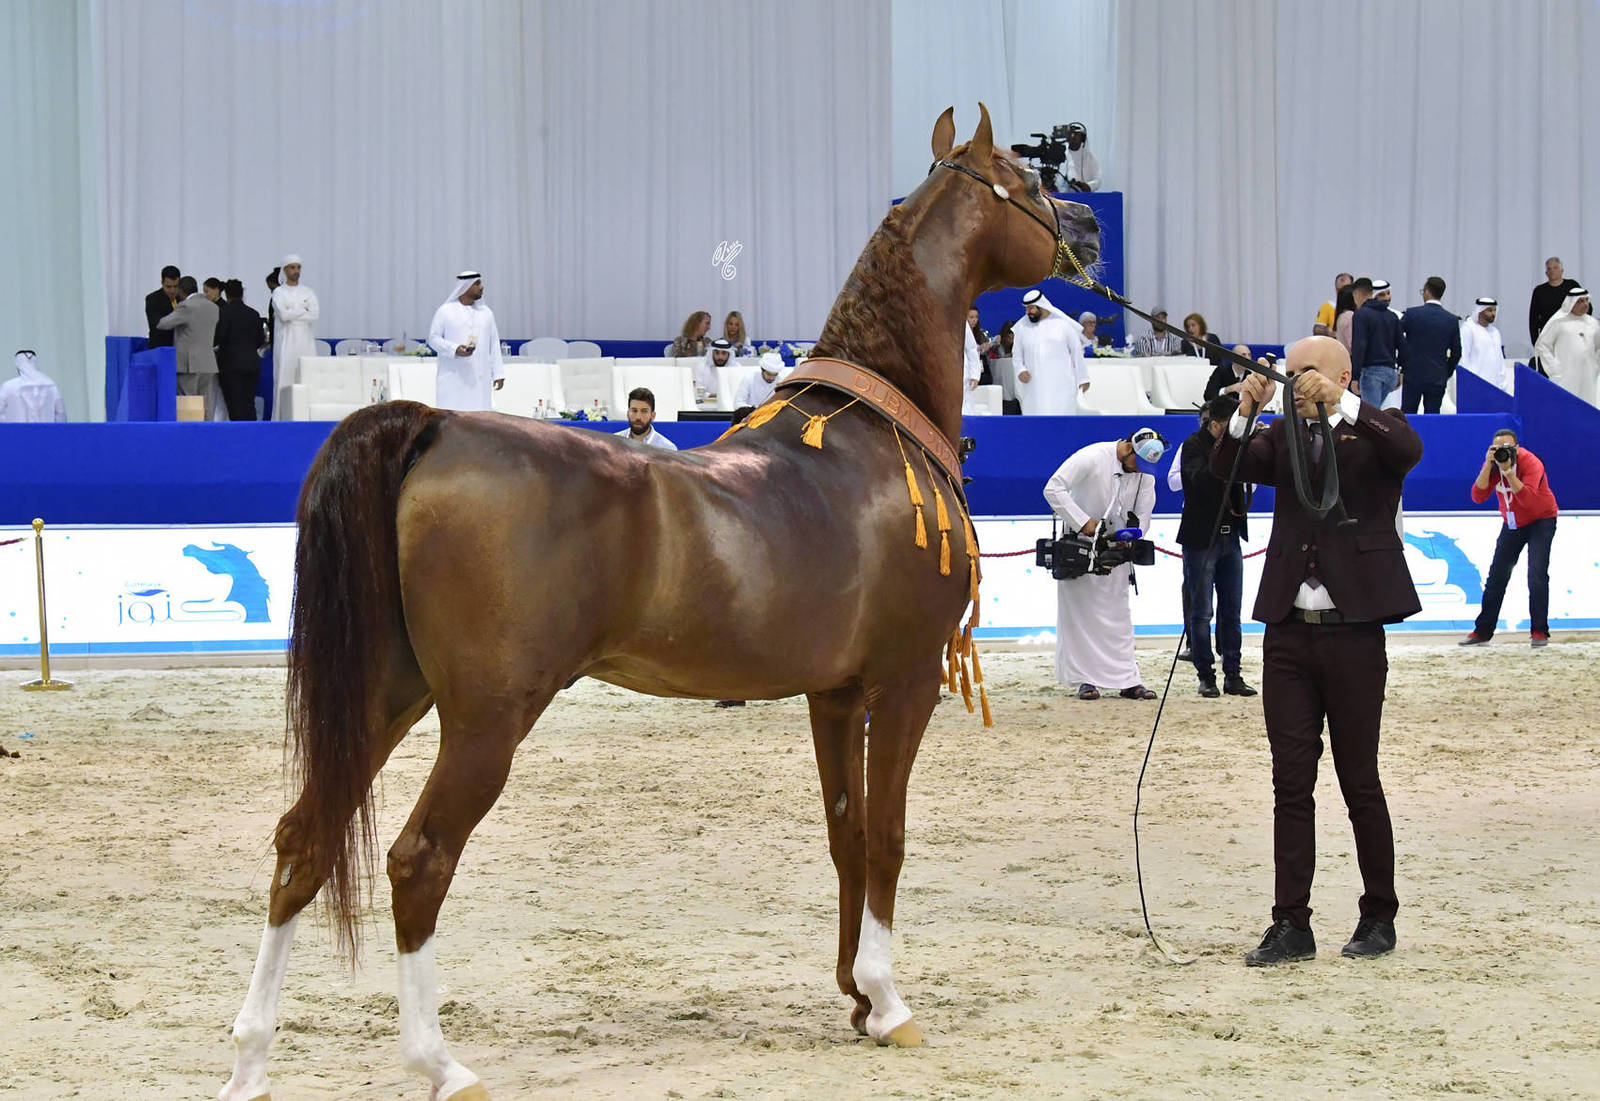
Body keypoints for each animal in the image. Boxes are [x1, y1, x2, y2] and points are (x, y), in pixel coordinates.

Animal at [220, 104, 1100, 1101]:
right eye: (1027, 183)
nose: (1090, 229)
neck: (873, 437)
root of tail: (436, 426)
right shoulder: (905, 680)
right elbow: (888, 834)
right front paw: (888, 1000)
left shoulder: (833, 695)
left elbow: (846, 832)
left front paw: (855, 997)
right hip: (485, 717)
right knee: (418, 860)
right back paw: (440, 1061)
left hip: (386, 693)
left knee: (305, 838)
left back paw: (250, 1058)